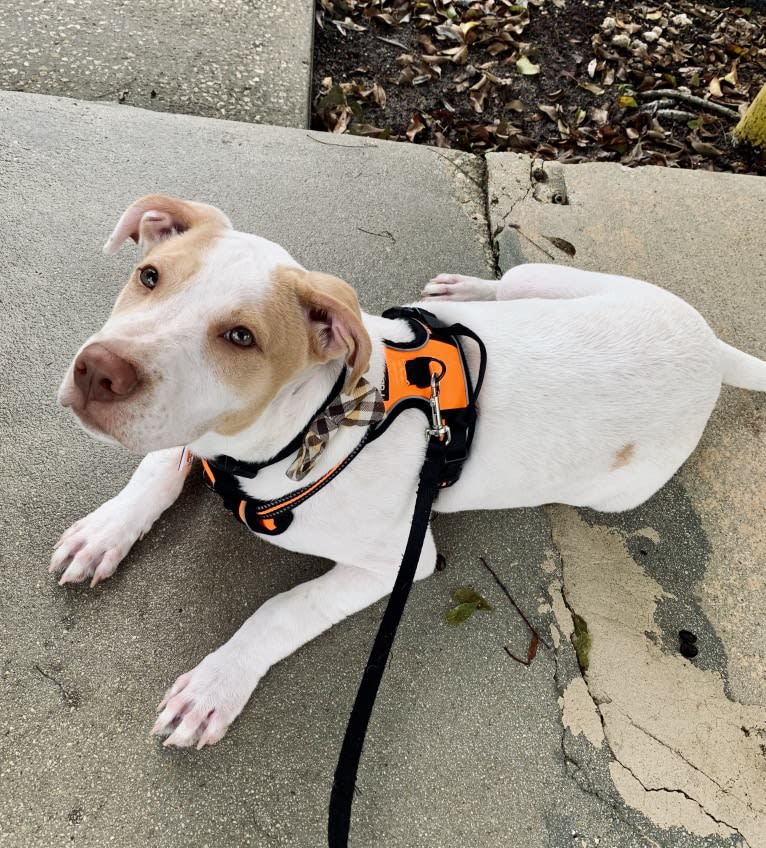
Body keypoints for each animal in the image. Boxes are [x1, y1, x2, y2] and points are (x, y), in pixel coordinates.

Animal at [54, 194, 766, 748]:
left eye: (241, 338)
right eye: (149, 276)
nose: (98, 370)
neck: (306, 427)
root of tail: (711, 348)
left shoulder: (400, 561)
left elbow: (282, 609)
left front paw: (215, 685)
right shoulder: (194, 432)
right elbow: (157, 469)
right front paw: (105, 532)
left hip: (620, 486)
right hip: (553, 277)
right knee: (513, 283)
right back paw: (466, 291)